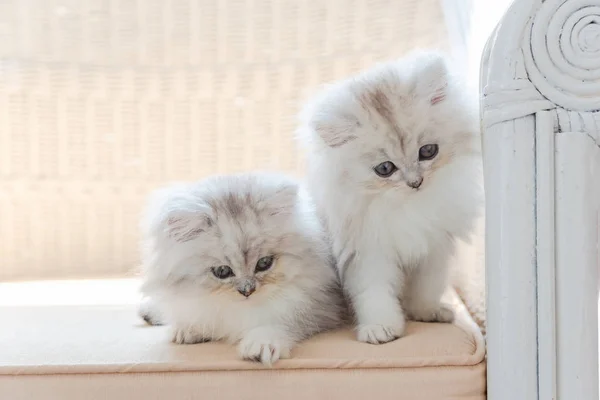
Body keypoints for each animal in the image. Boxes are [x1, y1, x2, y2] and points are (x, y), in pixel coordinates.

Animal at [139, 172, 344, 366]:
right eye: (222, 271)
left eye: (264, 263)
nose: (247, 291)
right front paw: (189, 329)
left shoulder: (318, 308)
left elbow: (275, 325)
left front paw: (261, 346)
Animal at [298, 50, 486, 344]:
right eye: (385, 169)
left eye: (428, 151)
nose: (415, 183)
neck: (404, 206)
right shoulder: (368, 254)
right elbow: (375, 295)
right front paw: (381, 329)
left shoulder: (433, 248)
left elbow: (427, 286)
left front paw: (426, 312)